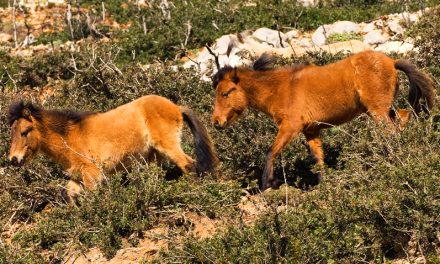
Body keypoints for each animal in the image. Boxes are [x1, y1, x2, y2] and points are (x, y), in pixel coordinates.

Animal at [8, 96, 218, 203]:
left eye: (25, 132)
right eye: (12, 132)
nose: (13, 159)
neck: (70, 136)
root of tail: (175, 107)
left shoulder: (92, 175)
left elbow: (93, 197)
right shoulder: (78, 177)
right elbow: (68, 194)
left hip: (168, 146)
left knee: (189, 165)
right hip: (155, 156)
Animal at [210, 50, 434, 190]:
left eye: (226, 93)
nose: (217, 122)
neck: (281, 89)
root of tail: (391, 62)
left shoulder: (289, 127)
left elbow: (270, 152)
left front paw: (267, 184)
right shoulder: (311, 131)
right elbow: (318, 159)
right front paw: (324, 185)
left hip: (378, 110)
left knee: (391, 131)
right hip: (381, 109)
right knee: (403, 117)